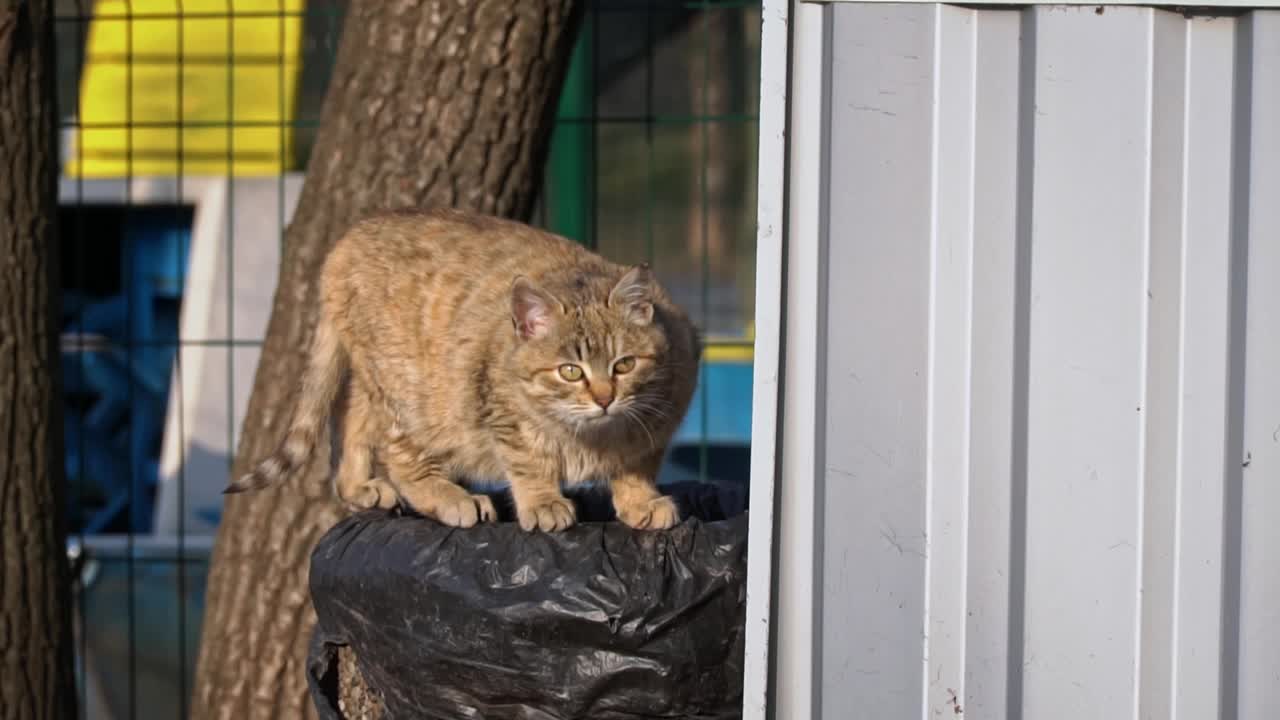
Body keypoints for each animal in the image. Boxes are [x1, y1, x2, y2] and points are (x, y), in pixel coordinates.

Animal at [226, 204, 701, 530]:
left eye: (625, 365)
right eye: (570, 371)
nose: (605, 399)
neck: (593, 435)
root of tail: (347, 241)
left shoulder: (665, 410)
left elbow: (638, 461)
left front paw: (640, 500)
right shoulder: (498, 405)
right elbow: (527, 459)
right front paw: (542, 501)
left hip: (373, 381)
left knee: (352, 424)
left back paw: (357, 485)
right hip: (407, 391)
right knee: (399, 454)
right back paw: (449, 496)